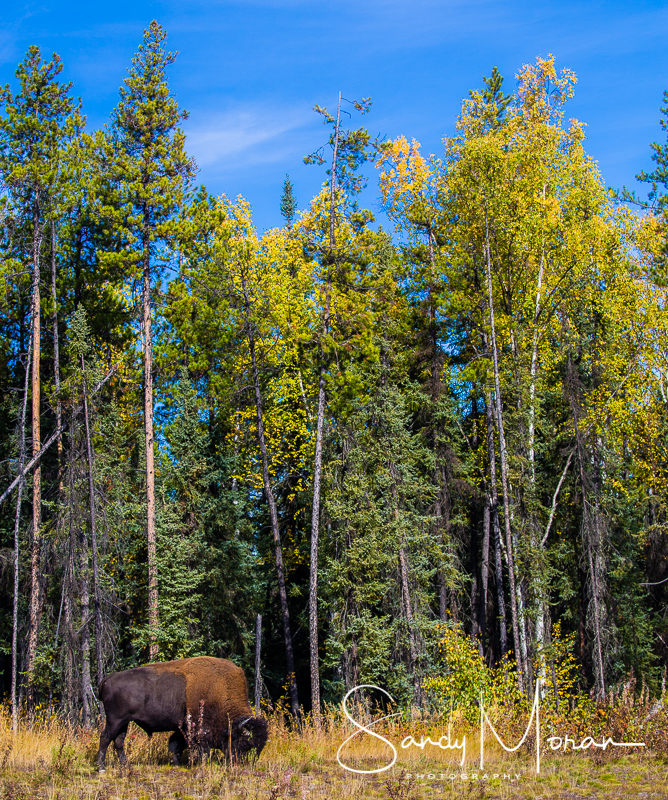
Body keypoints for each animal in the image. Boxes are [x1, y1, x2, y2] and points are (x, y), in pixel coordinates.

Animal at [97, 656, 268, 771]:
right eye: (245, 743)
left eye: (260, 747)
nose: (243, 764)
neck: (219, 690)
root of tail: (108, 678)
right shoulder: (198, 728)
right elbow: (199, 748)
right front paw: (198, 764)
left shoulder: (183, 727)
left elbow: (176, 744)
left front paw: (177, 763)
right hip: (115, 720)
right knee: (105, 738)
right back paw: (101, 768)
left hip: (124, 722)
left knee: (118, 742)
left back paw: (126, 765)